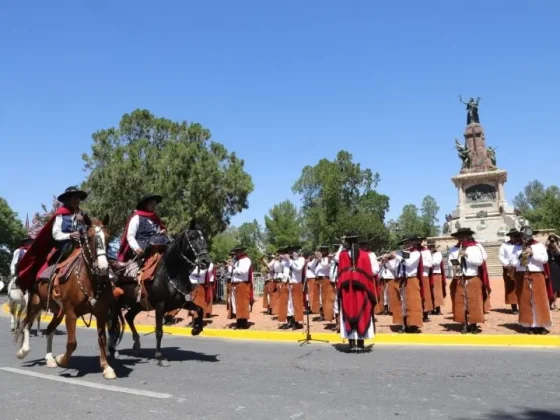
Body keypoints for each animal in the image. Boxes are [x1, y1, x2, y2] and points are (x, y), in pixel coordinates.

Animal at [17, 217, 123, 380]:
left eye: (108, 237)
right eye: (89, 238)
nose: (103, 268)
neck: (89, 281)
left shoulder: (101, 313)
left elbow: (102, 340)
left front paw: (107, 368)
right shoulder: (71, 313)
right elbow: (72, 342)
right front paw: (62, 359)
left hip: (58, 312)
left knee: (49, 329)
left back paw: (49, 359)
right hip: (35, 304)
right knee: (27, 325)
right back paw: (24, 351)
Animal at [107, 221, 210, 366]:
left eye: (203, 237)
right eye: (193, 237)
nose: (206, 262)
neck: (172, 274)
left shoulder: (183, 302)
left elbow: (200, 310)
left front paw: (196, 330)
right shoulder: (160, 306)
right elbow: (159, 331)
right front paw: (160, 356)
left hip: (138, 305)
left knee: (128, 317)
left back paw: (136, 344)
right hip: (115, 304)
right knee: (112, 324)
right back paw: (112, 350)